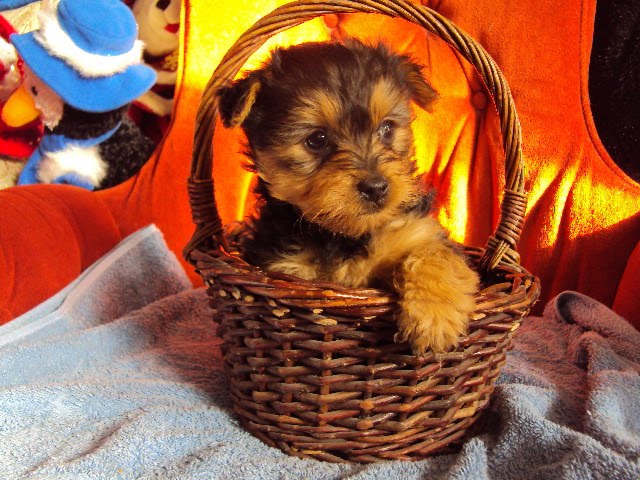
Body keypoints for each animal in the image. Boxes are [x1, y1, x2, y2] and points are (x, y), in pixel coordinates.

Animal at [218, 39, 478, 354]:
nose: (376, 187)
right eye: (317, 139)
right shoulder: (287, 269)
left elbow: (434, 254)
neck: (344, 235)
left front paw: (433, 319)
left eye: (387, 129)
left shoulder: (417, 231)